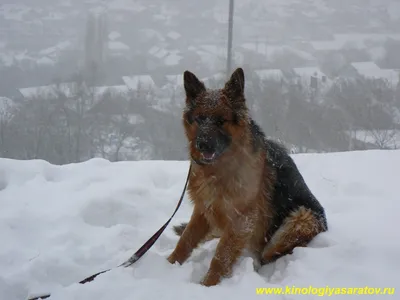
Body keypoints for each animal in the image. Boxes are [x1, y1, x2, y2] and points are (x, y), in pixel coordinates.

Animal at [167, 67, 326, 286]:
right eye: (199, 119)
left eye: (221, 121)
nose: (202, 145)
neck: (220, 169)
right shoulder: (203, 209)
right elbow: (186, 241)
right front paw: (165, 266)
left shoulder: (241, 219)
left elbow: (221, 256)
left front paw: (208, 285)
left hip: (301, 218)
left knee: (268, 253)